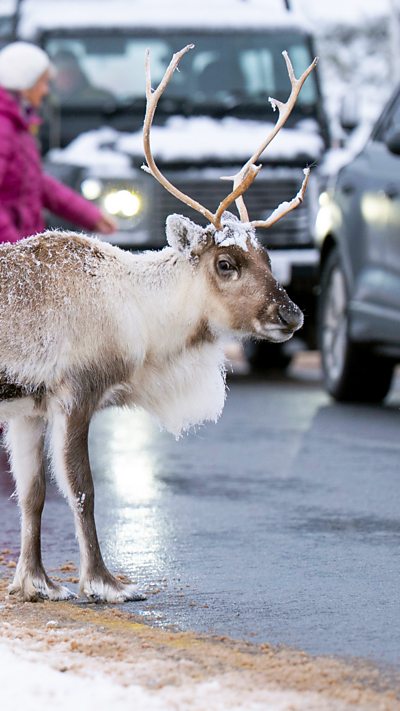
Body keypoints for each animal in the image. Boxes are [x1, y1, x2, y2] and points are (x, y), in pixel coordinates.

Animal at [0, 46, 317, 603]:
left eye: (267, 256)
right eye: (226, 263)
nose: (292, 314)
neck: (139, 316)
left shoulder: (28, 408)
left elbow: (32, 493)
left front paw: (37, 582)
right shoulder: (75, 393)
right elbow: (82, 489)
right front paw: (105, 583)